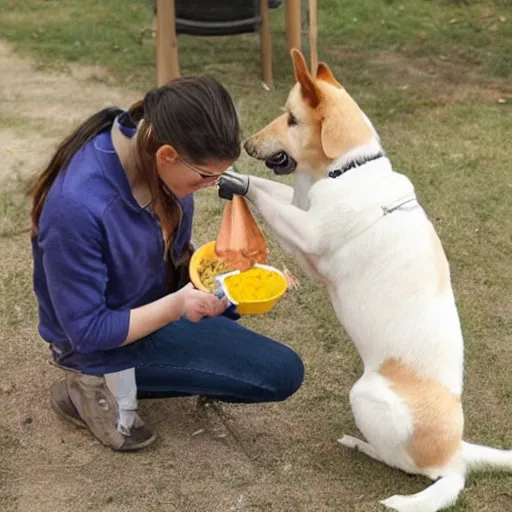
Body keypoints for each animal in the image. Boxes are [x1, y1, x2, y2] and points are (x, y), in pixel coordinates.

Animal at [240, 51, 512, 512]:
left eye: (291, 119)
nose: (245, 144)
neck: (347, 169)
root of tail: (456, 453)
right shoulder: (299, 211)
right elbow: (267, 189)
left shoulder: (308, 235)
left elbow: (257, 189)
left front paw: (231, 179)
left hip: (365, 396)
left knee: (410, 465)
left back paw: (362, 445)